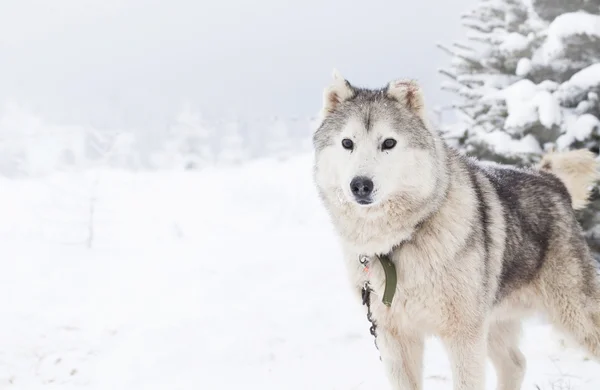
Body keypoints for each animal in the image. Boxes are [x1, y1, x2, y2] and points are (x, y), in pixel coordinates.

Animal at [312, 71, 600, 390]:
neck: (399, 242)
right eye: (347, 143)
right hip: (495, 321)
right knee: (515, 364)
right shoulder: (394, 338)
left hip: (574, 315)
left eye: (388, 143)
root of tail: (551, 179)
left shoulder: (464, 335)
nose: (360, 185)